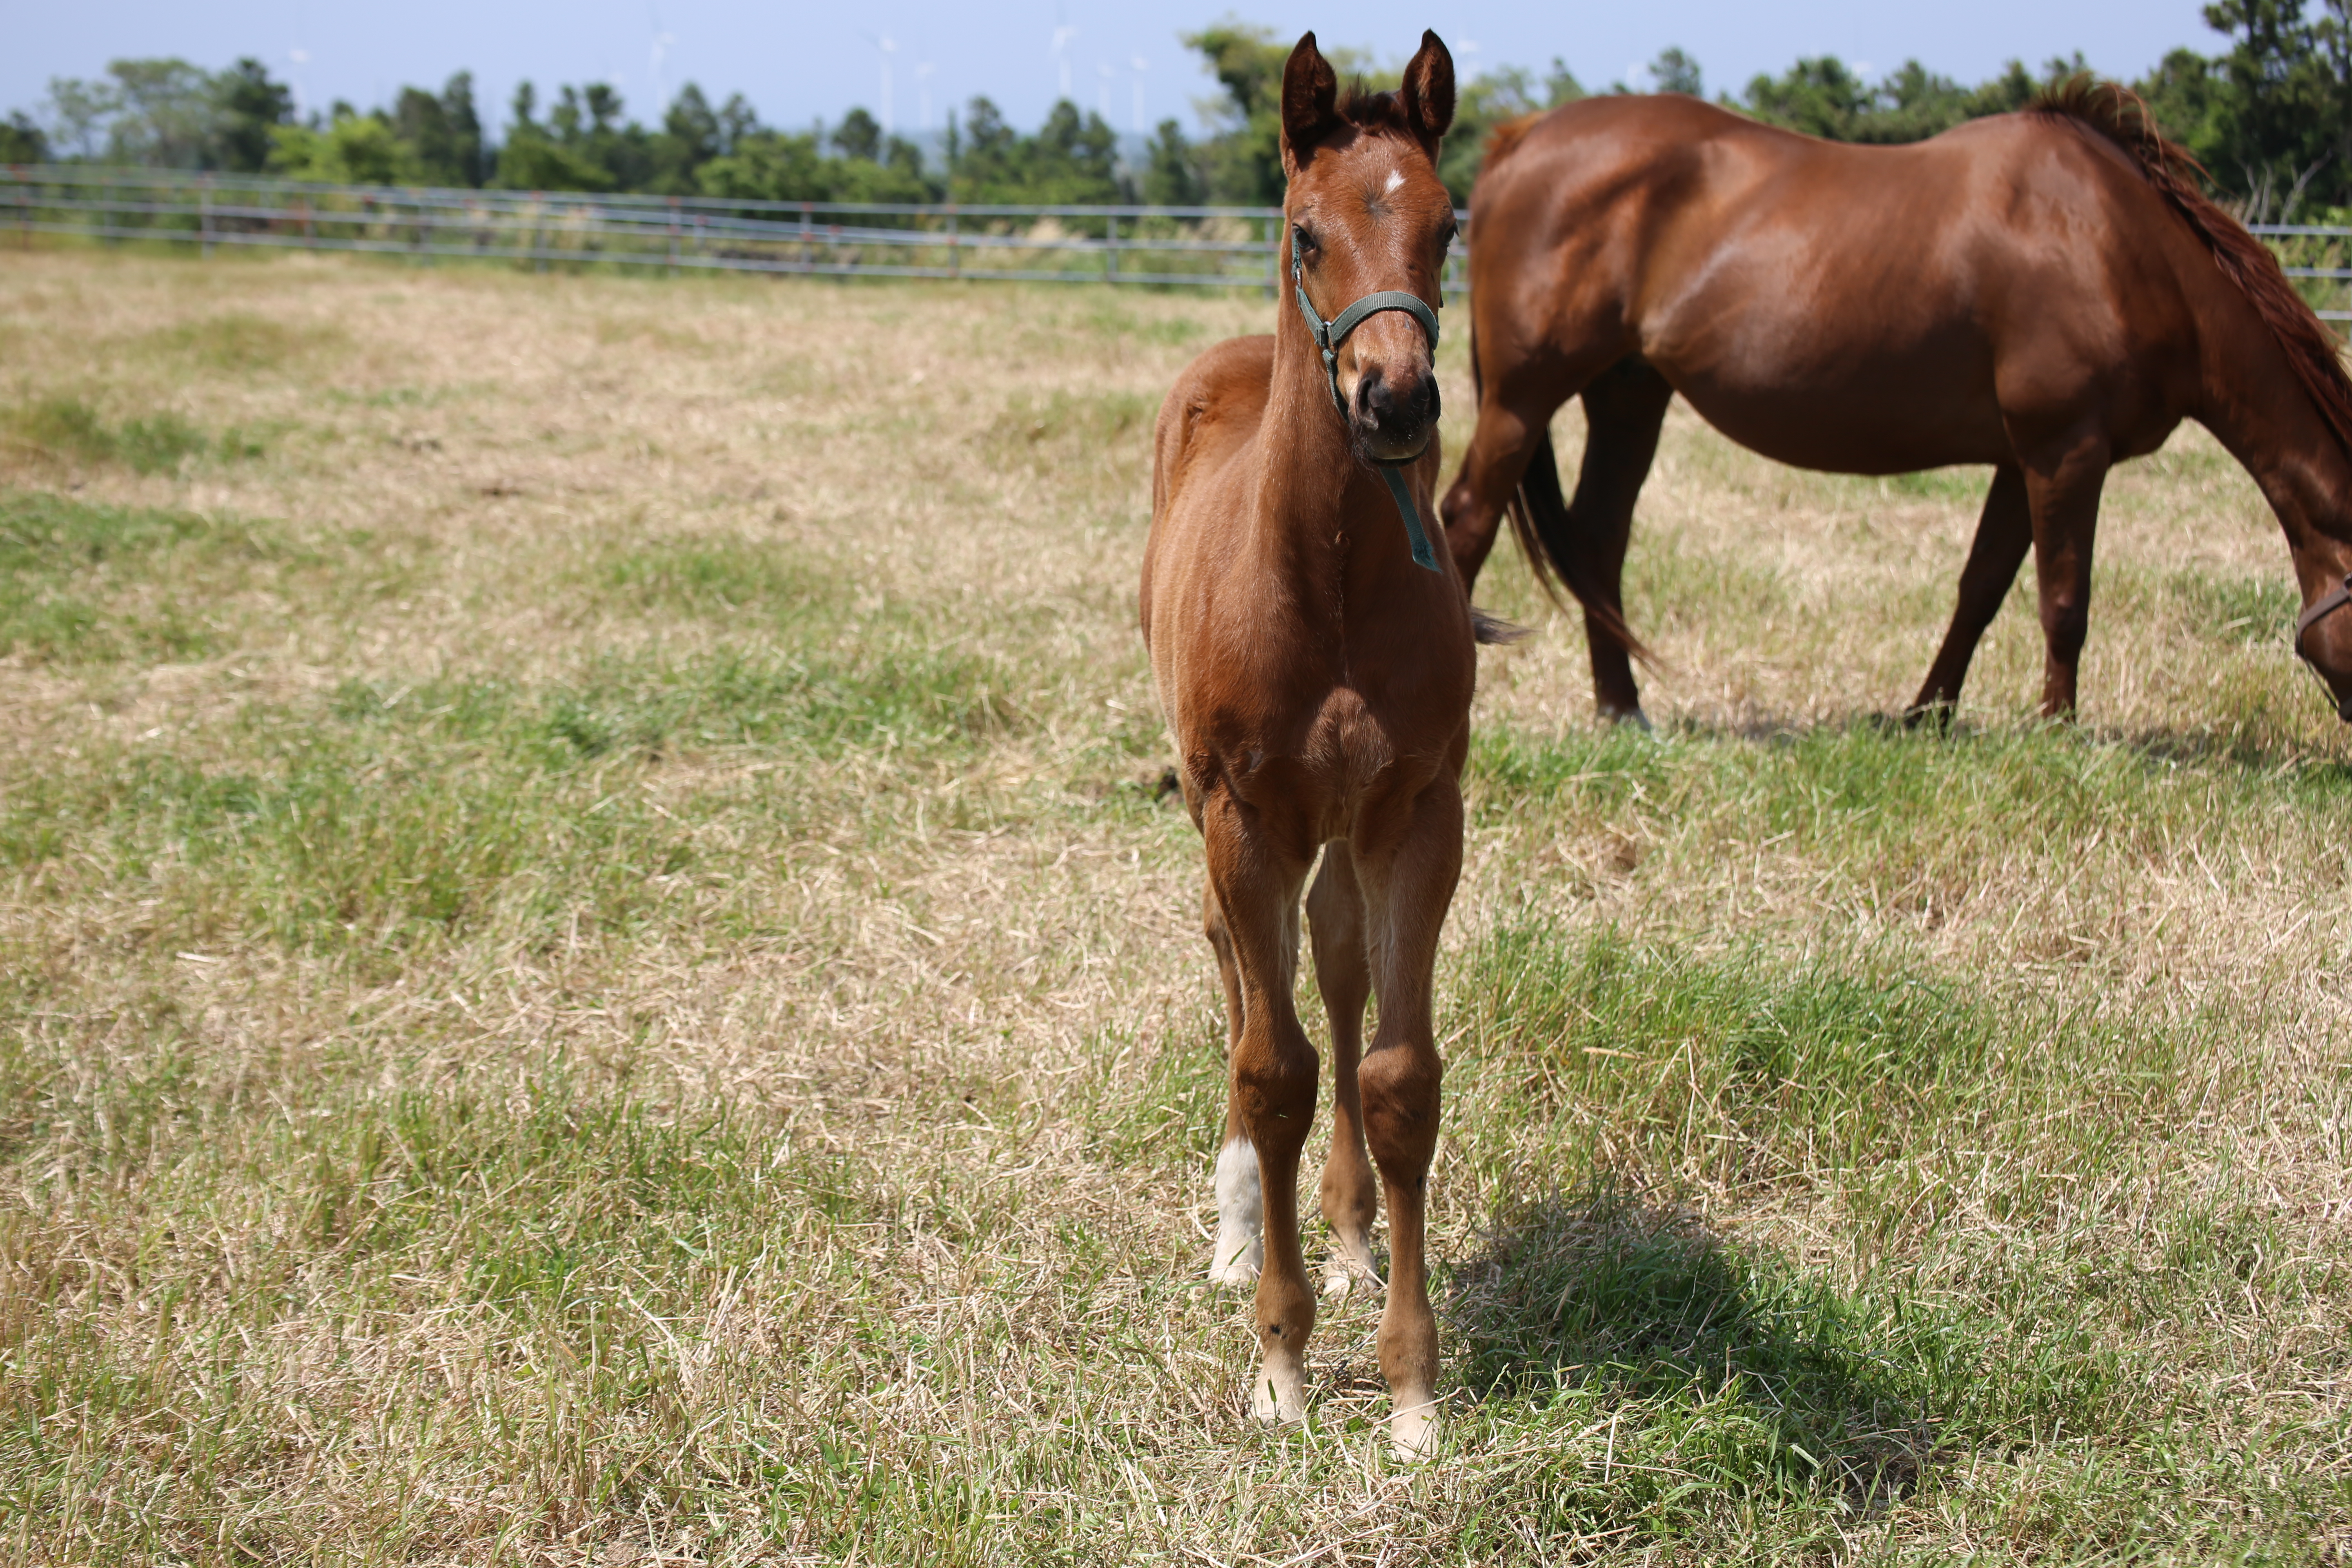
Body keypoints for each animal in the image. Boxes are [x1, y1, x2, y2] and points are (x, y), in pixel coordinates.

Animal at [1430, 82, 2352, 728]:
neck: (2115, 246)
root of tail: (1520, 140)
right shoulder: (2066, 450)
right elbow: (2064, 601)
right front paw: (2061, 731)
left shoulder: (2022, 460)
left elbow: (1981, 589)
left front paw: (1928, 716)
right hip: (1523, 397)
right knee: (1468, 519)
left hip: (1628, 395)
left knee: (1599, 540)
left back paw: (1624, 711)